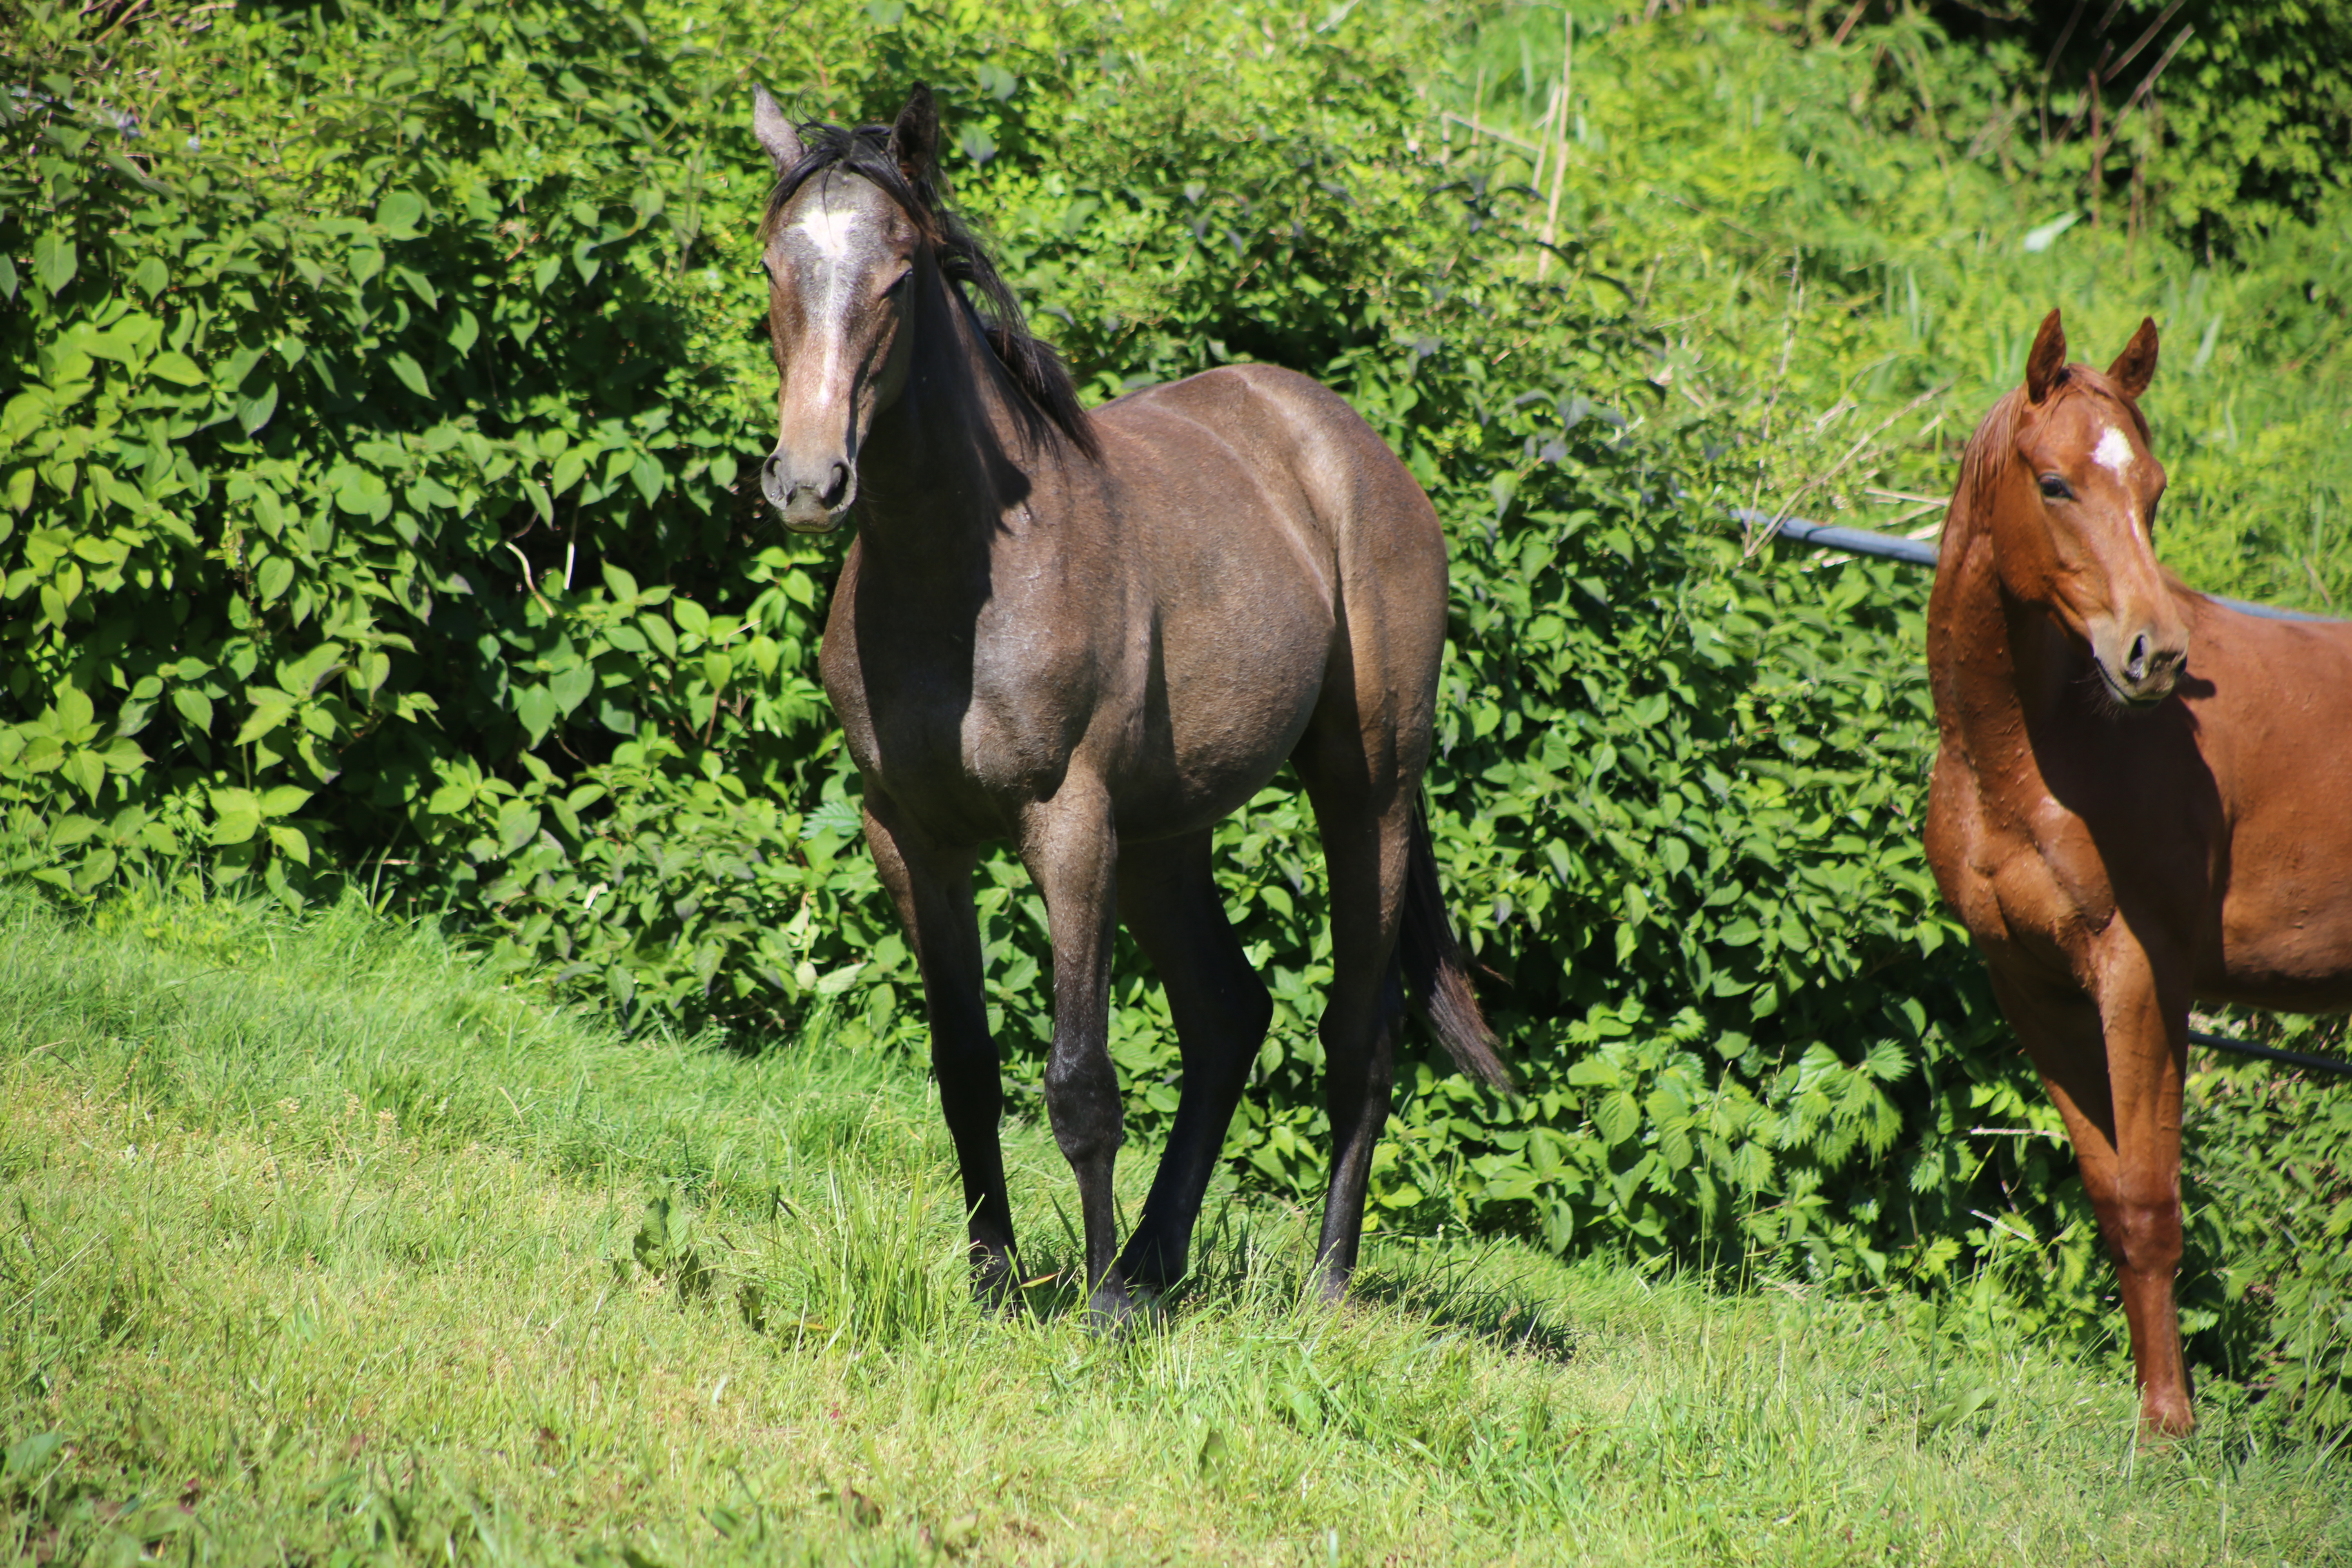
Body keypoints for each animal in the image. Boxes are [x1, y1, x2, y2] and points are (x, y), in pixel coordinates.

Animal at [748, 86, 1505, 1335]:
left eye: (898, 277)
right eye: (773, 268)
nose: (810, 482)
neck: (964, 580)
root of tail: (1350, 449)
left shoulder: (1069, 828)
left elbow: (1080, 1081)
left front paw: (1094, 1308)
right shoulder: (910, 840)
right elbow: (967, 1069)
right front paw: (997, 1285)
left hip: (1367, 791)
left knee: (1359, 1030)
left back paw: (1316, 1283)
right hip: (1165, 837)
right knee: (1228, 1012)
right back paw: (1158, 1260)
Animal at [1919, 310, 2352, 1439]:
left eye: (2152, 489)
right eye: (2053, 482)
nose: (2153, 654)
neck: (2042, 752)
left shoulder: (2142, 978)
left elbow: (2155, 1204)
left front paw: (2169, 1429)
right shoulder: (2034, 989)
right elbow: (2113, 1197)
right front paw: (2158, 1409)